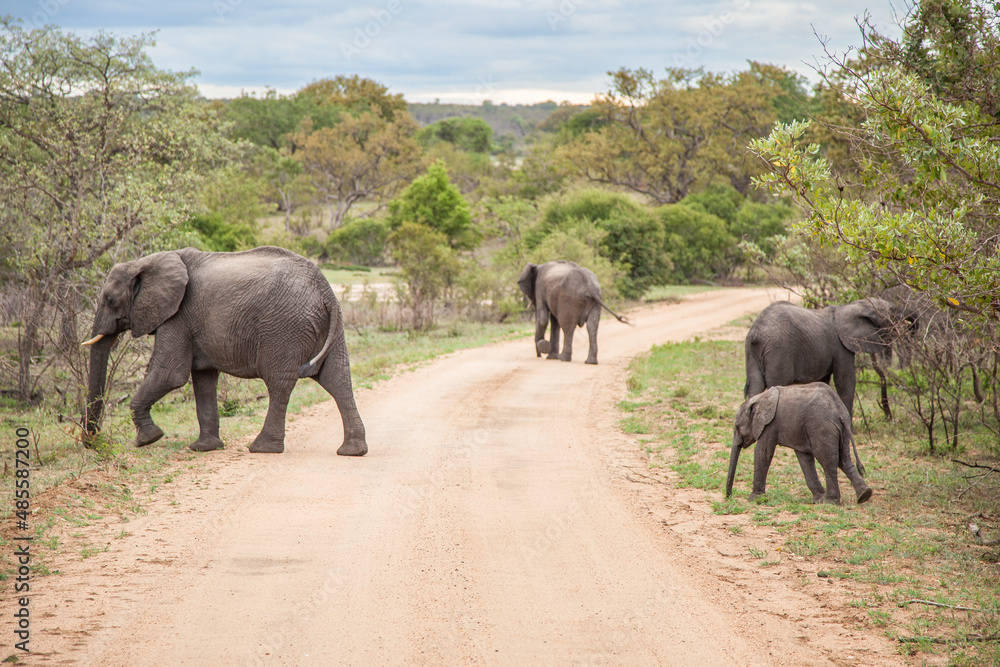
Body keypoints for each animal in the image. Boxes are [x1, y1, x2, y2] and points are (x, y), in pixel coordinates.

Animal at [82, 248, 370, 456]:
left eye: (110, 300)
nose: (91, 442)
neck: (146, 261)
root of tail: (324, 290)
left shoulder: (177, 317)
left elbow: (170, 375)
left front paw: (148, 439)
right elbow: (203, 379)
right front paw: (203, 448)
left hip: (284, 328)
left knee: (279, 383)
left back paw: (261, 448)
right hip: (330, 324)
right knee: (338, 379)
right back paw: (352, 451)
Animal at [724, 380, 872, 506]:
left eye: (737, 426)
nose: (728, 496)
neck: (760, 398)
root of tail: (839, 409)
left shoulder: (770, 424)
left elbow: (763, 453)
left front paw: (754, 498)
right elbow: (804, 458)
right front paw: (816, 498)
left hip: (821, 426)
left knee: (827, 460)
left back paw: (829, 502)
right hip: (840, 430)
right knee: (843, 459)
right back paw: (864, 495)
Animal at [744, 300, 900, 420]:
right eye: (891, 315)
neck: (850, 306)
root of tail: (756, 332)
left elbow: (824, 383)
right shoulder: (841, 346)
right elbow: (845, 382)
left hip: (753, 351)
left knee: (755, 386)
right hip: (779, 349)